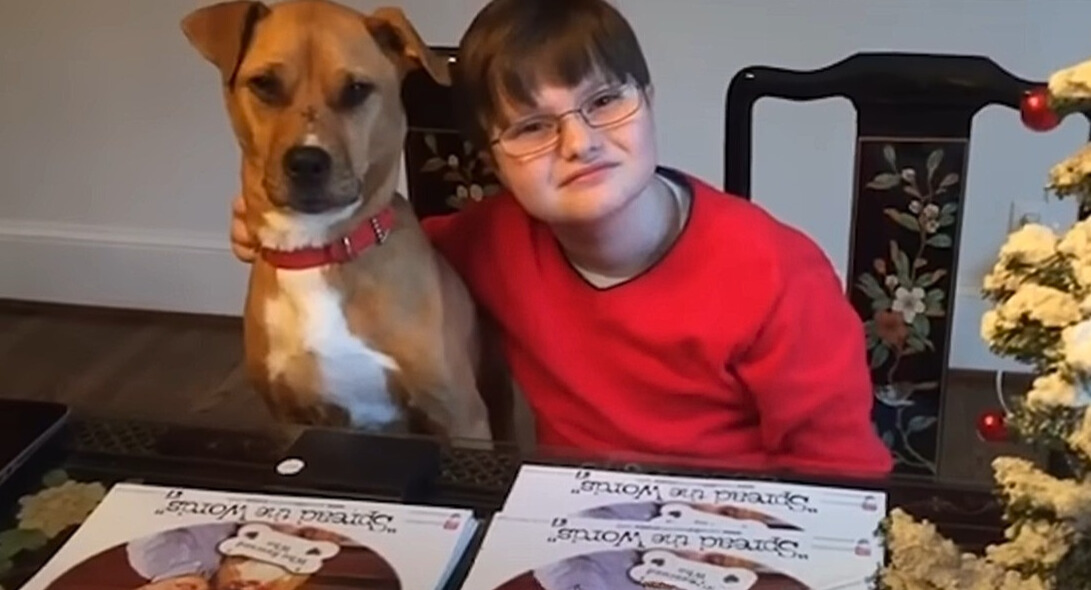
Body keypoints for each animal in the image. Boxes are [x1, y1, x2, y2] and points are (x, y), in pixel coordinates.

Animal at [182, 0, 510, 440]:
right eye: (264, 84)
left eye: (356, 90)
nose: (307, 162)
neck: (319, 251)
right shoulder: (290, 416)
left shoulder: (458, 414)